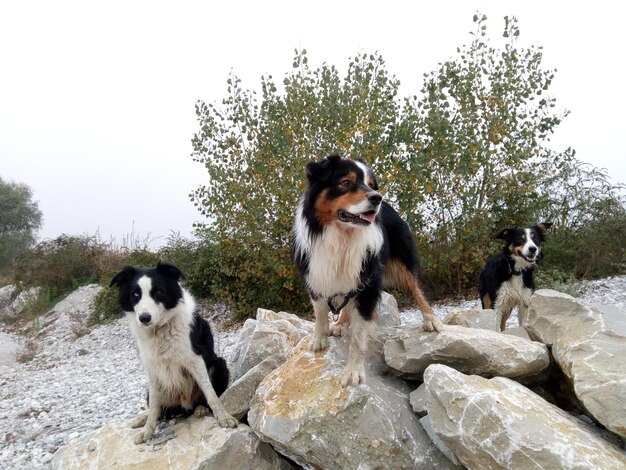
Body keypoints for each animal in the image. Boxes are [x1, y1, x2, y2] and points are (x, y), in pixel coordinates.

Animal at [109, 260, 236, 444]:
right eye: (136, 294)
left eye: (158, 292)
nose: (144, 318)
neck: (160, 329)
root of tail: (184, 405)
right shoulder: (151, 368)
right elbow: (154, 407)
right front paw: (147, 430)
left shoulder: (194, 359)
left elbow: (211, 394)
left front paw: (224, 417)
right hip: (152, 390)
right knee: (160, 410)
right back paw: (142, 419)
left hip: (219, 365)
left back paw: (201, 409)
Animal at [292, 154, 442, 386]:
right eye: (346, 182)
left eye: (371, 185)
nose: (377, 198)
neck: (342, 237)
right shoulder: (316, 275)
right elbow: (320, 312)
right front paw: (319, 338)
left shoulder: (369, 282)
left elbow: (359, 333)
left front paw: (353, 370)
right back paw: (340, 323)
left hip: (401, 261)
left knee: (416, 287)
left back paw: (430, 319)